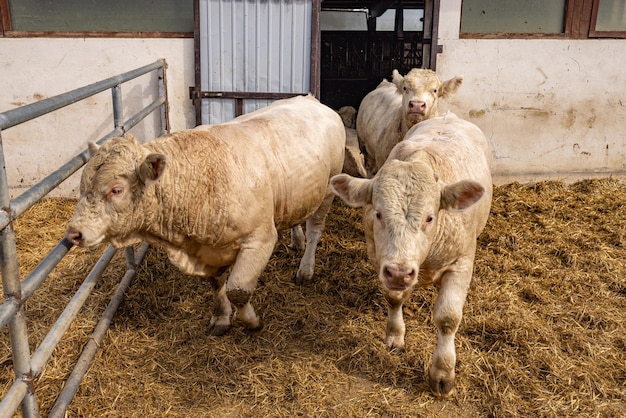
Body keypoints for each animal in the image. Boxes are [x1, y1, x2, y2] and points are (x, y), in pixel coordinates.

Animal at [67, 95, 346, 336]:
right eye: (82, 186)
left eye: (116, 189)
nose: (74, 232)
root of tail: (310, 99)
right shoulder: (209, 249)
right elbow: (217, 285)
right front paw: (221, 319)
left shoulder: (261, 239)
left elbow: (238, 290)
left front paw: (252, 321)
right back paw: (297, 240)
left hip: (328, 189)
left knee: (315, 229)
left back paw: (306, 269)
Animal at [330, 112, 490, 398]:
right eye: (378, 213)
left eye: (430, 217)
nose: (400, 272)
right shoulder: (380, 259)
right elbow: (394, 298)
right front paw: (395, 336)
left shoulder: (461, 263)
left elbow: (448, 318)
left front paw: (443, 372)